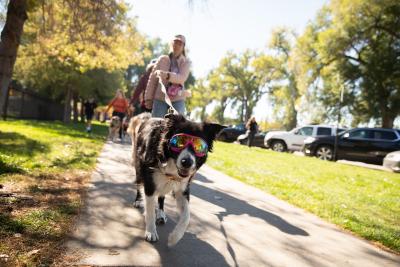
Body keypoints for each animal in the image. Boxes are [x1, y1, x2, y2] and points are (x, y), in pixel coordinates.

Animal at [132, 112, 223, 247]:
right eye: (179, 142)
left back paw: (161, 214)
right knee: (139, 184)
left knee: (161, 197)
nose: (187, 162)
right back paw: (138, 201)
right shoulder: (150, 184)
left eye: (199, 147)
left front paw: (174, 238)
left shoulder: (183, 189)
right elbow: (150, 210)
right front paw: (151, 231)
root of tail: (148, 118)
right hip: (138, 167)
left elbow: (186, 217)